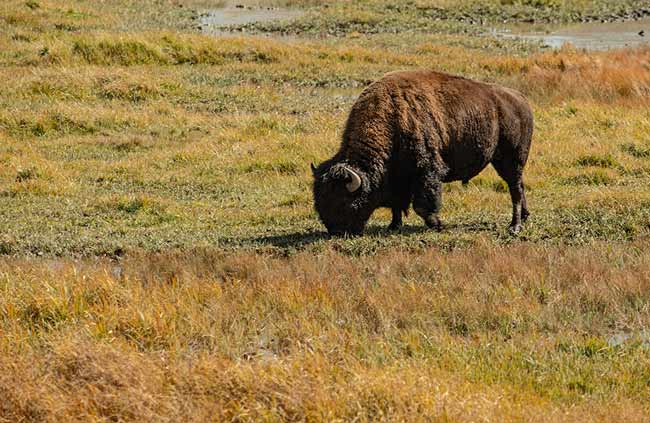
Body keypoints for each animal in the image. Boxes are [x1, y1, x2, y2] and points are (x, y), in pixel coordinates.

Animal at [312, 70, 533, 236]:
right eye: (319, 199)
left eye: (342, 201)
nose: (335, 231)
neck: (390, 117)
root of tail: (521, 100)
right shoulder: (398, 177)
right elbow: (397, 203)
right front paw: (394, 225)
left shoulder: (426, 170)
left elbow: (421, 203)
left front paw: (438, 224)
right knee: (519, 186)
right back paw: (524, 217)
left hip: (511, 159)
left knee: (514, 189)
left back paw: (515, 226)